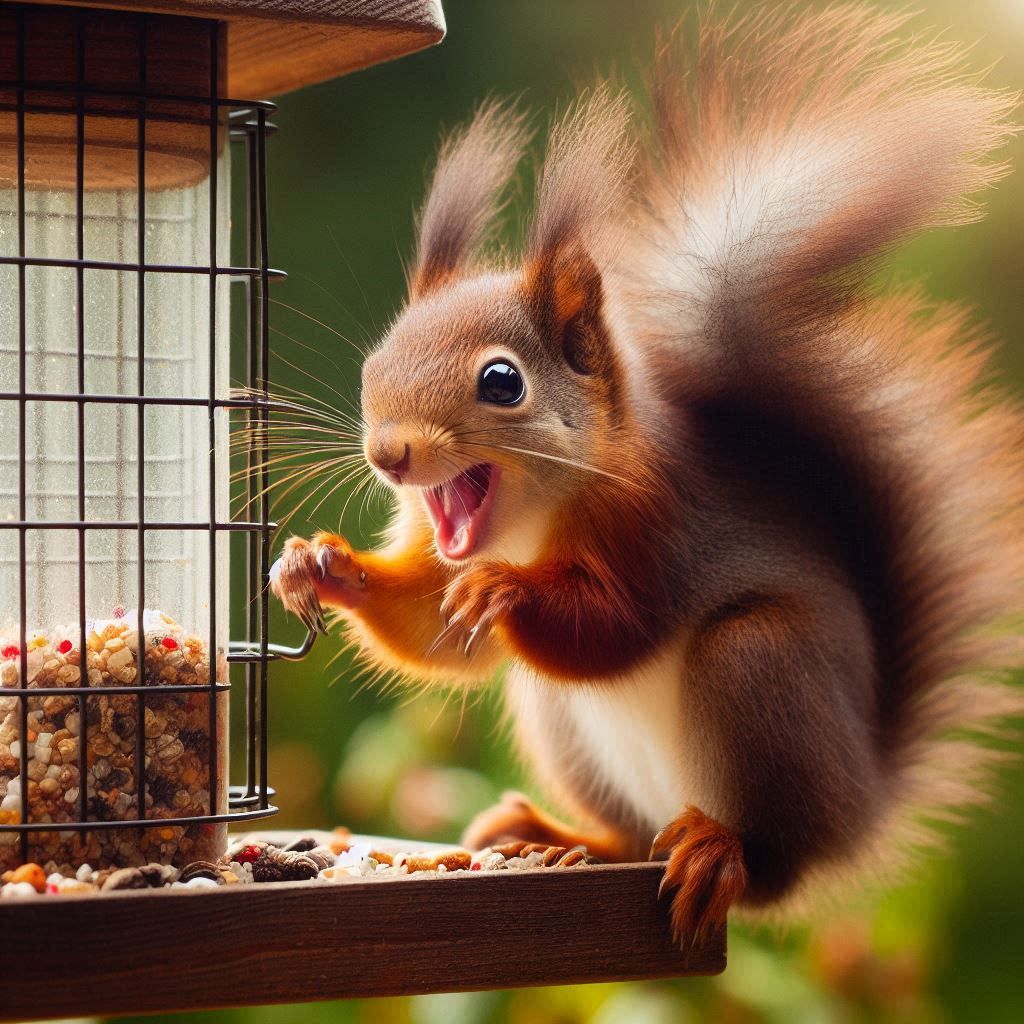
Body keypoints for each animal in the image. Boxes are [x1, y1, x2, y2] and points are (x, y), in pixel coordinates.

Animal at [270, 5, 1024, 944]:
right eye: (375, 366)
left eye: (501, 382)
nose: (388, 454)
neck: (531, 518)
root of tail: (861, 805)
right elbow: (435, 633)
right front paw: (316, 564)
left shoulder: (660, 524)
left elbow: (618, 630)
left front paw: (503, 591)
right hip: (560, 722)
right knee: (631, 834)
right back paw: (563, 837)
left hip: (760, 667)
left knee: (768, 856)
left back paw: (717, 852)